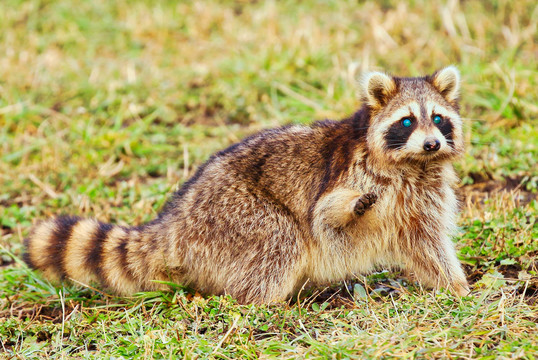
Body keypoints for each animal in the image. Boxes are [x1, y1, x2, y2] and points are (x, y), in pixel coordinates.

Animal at [24, 67, 468, 304]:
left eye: (438, 119)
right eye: (407, 121)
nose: (432, 143)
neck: (414, 164)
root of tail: (174, 222)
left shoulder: (422, 197)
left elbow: (427, 243)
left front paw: (455, 286)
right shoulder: (350, 174)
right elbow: (324, 217)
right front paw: (350, 208)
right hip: (234, 216)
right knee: (280, 240)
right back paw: (266, 303)